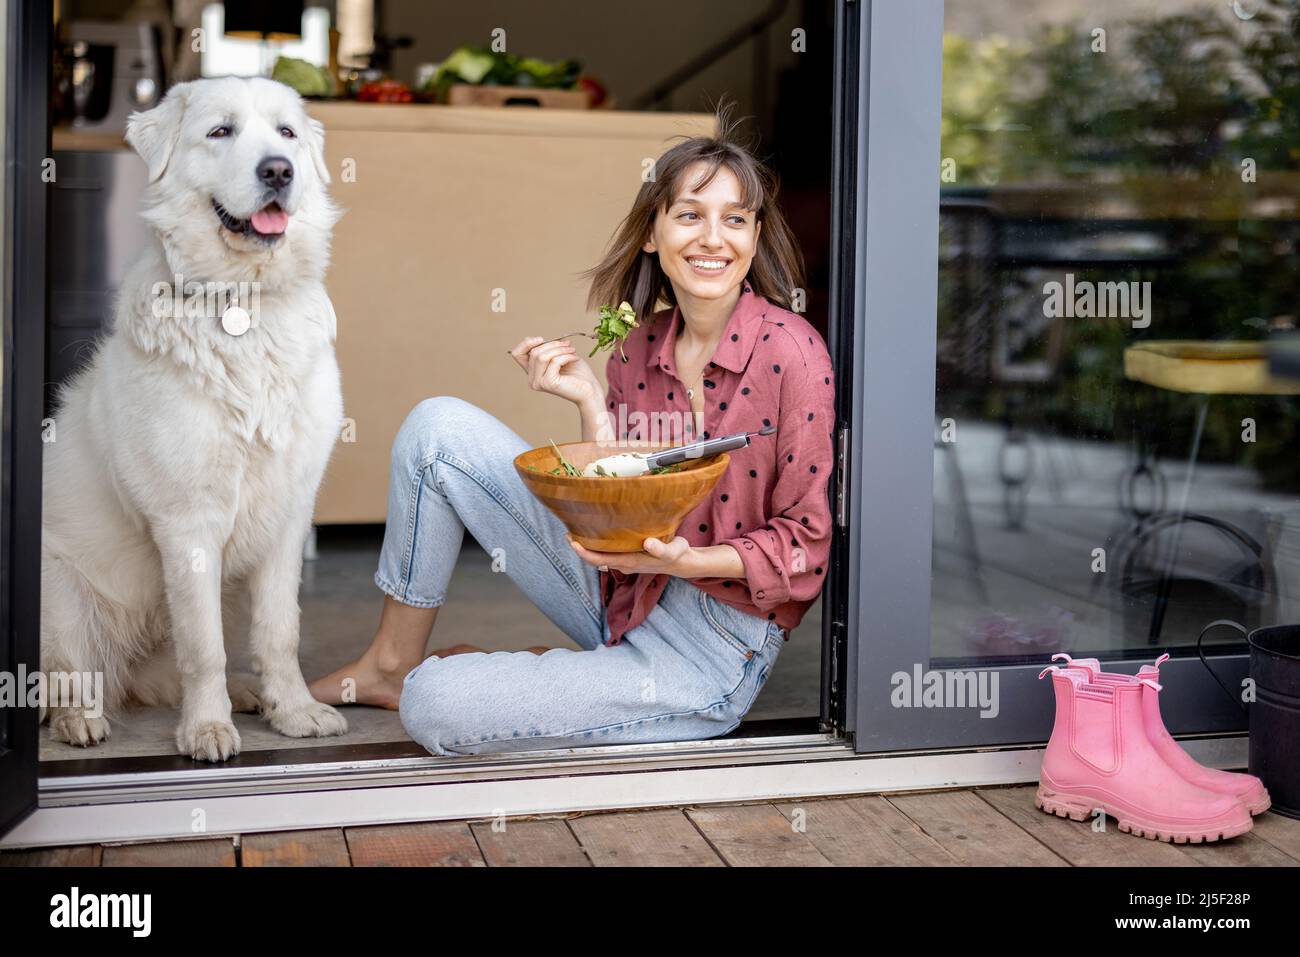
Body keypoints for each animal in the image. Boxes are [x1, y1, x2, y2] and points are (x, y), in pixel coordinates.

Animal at [41, 76, 348, 764]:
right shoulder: (188, 524)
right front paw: (206, 730)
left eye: (287, 133)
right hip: (61, 590)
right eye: (221, 131)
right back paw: (79, 721)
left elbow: (280, 632)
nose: (279, 170)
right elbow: (203, 647)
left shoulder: (288, 515)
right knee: (70, 674)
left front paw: (294, 711)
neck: (243, 304)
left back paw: (250, 694)